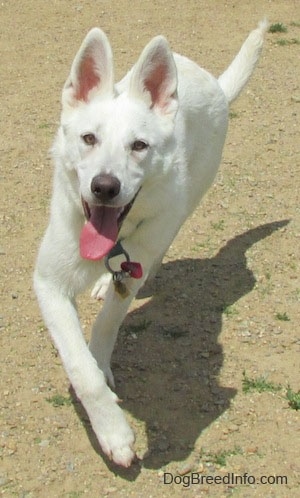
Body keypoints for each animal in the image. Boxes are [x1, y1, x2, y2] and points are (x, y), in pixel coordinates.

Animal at [34, 21, 268, 466]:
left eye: (139, 146)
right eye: (88, 138)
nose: (105, 187)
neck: (112, 244)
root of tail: (213, 82)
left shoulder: (132, 266)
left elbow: (106, 327)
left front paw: (109, 412)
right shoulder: (49, 284)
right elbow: (81, 369)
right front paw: (112, 428)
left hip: (181, 206)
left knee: (156, 253)